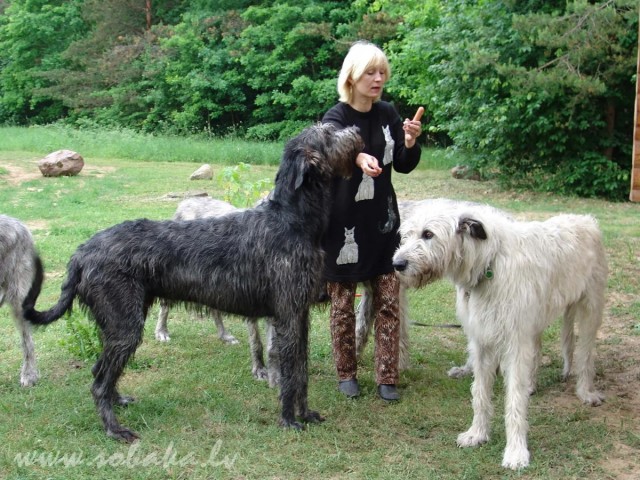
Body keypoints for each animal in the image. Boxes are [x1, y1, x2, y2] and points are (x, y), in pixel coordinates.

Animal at [22, 124, 362, 442]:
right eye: (328, 133)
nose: (357, 129)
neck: (291, 220)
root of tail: (82, 252)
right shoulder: (288, 314)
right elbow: (291, 372)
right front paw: (289, 419)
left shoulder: (300, 314)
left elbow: (301, 370)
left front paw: (306, 414)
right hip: (124, 326)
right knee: (98, 382)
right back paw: (114, 429)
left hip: (121, 321)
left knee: (99, 371)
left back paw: (117, 401)